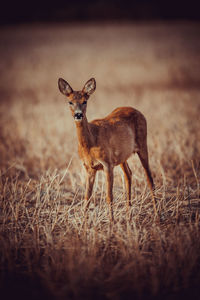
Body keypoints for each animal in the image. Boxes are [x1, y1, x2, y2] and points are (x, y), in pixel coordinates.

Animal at [57, 77, 155, 220]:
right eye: (70, 102)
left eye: (85, 101)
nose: (78, 115)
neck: (91, 142)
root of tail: (138, 111)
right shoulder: (89, 167)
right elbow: (87, 197)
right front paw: (84, 223)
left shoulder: (107, 164)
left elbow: (109, 196)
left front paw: (111, 222)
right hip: (122, 156)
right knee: (129, 174)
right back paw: (128, 215)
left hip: (142, 144)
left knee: (149, 178)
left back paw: (158, 215)